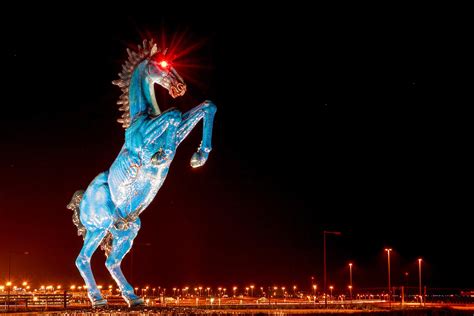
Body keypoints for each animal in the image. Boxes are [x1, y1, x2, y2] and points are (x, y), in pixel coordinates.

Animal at [66, 39, 217, 306]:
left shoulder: (178, 131)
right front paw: (162, 156)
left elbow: (204, 108)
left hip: (127, 229)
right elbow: (174, 115)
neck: (141, 119)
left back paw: (133, 297)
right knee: (82, 259)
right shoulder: (148, 139)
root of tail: (80, 202)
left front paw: (198, 157)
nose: (180, 87)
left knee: (111, 262)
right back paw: (98, 299)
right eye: (163, 64)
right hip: (99, 228)